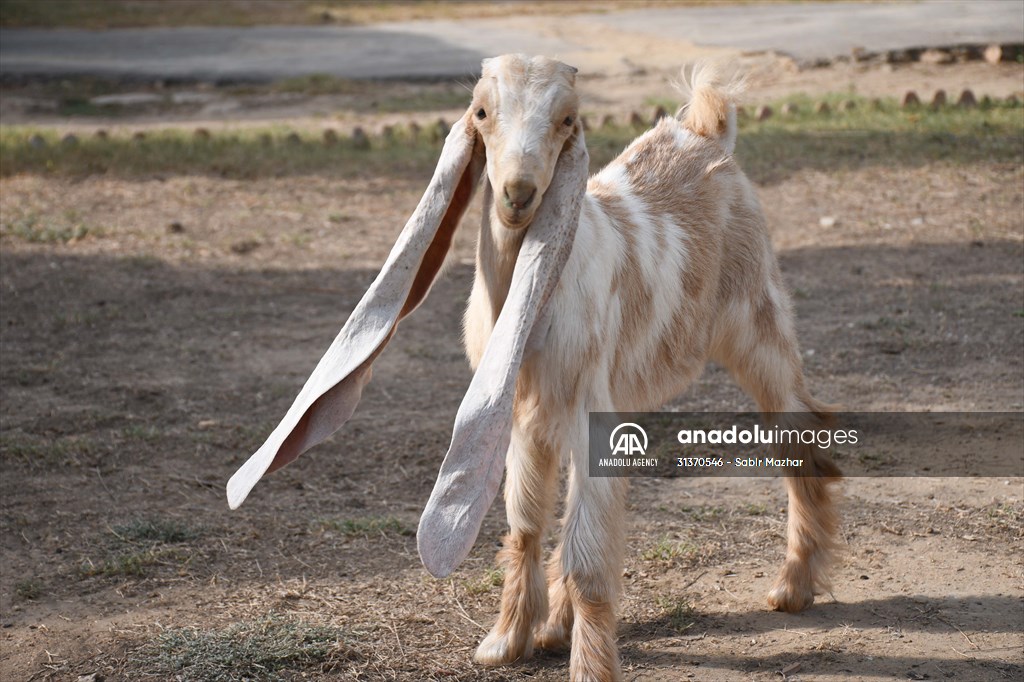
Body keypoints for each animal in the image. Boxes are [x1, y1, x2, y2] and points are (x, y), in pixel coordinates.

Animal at [228, 54, 843, 679]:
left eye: (568, 119)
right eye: (480, 111)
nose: (518, 193)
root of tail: (703, 132)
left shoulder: (586, 405)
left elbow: (589, 554)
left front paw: (589, 667)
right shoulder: (524, 412)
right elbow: (525, 523)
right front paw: (507, 639)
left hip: (756, 321)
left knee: (799, 427)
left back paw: (793, 586)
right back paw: (555, 625)